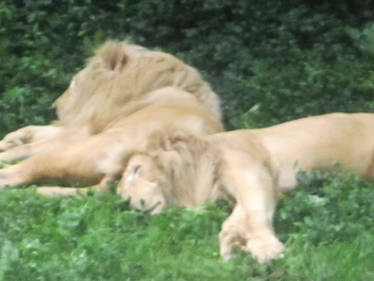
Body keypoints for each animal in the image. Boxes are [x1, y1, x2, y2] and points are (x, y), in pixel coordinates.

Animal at [115, 112, 374, 262]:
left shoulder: (251, 171)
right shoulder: (247, 187)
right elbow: (241, 214)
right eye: (121, 194)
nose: (127, 202)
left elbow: (254, 209)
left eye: (136, 170)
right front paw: (233, 241)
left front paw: (266, 249)